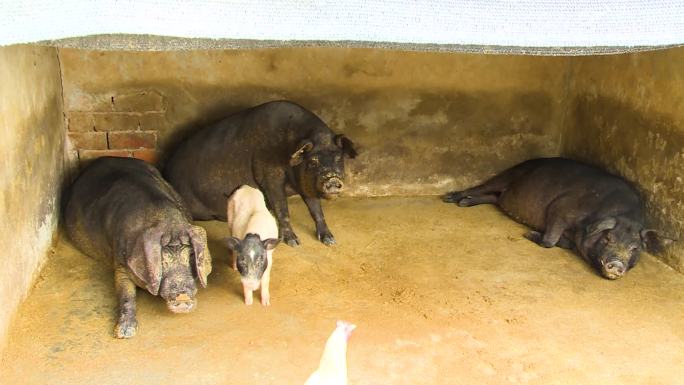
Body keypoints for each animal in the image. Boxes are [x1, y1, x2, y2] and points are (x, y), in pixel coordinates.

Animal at [67, 156, 212, 336]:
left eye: (190, 256)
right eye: (161, 261)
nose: (182, 297)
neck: (168, 222)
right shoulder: (120, 262)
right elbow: (125, 293)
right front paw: (124, 333)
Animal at [164, 100, 358, 246]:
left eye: (339, 158)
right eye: (312, 161)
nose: (332, 179)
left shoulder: (305, 183)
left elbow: (316, 209)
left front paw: (330, 240)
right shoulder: (269, 173)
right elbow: (281, 207)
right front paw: (294, 242)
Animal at [444, 156, 672, 280]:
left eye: (635, 248)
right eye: (608, 239)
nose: (617, 264)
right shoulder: (560, 207)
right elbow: (549, 241)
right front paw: (529, 234)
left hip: (503, 193)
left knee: (493, 198)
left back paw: (464, 203)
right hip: (508, 174)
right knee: (481, 187)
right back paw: (452, 199)